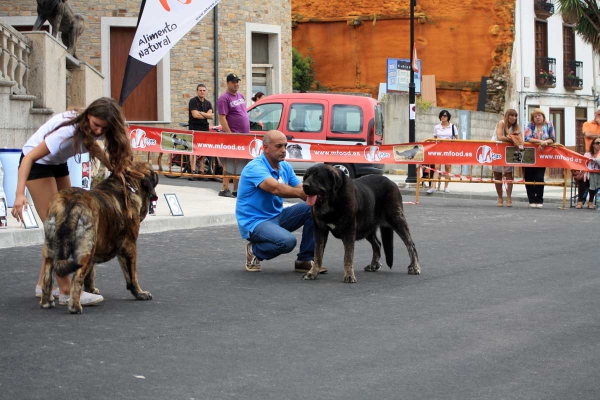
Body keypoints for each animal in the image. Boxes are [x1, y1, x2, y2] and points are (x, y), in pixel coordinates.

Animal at [39, 162, 159, 312]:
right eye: (152, 171)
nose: (157, 174)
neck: (130, 184)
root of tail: (71, 203)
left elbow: (91, 274)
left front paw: (91, 290)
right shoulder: (129, 246)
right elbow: (132, 275)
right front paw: (140, 293)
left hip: (51, 249)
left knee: (47, 276)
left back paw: (46, 302)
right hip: (86, 250)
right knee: (76, 278)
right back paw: (75, 307)